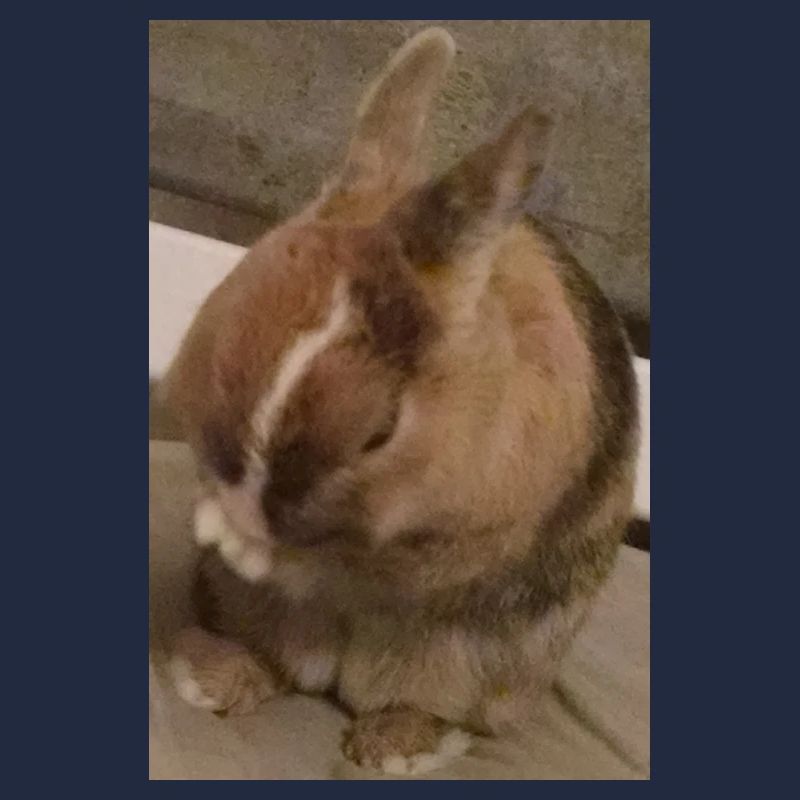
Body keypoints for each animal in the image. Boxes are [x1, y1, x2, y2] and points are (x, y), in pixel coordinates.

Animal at [160, 27, 639, 776]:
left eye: (379, 432)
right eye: (230, 314)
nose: (245, 503)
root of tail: (339, 672)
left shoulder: (449, 545)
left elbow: (340, 561)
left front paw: (244, 542)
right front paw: (219, 522)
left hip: (482, 664)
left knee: (438, 707)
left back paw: (393, 747)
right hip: (246, 613)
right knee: (275, 663)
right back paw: (211, 674)